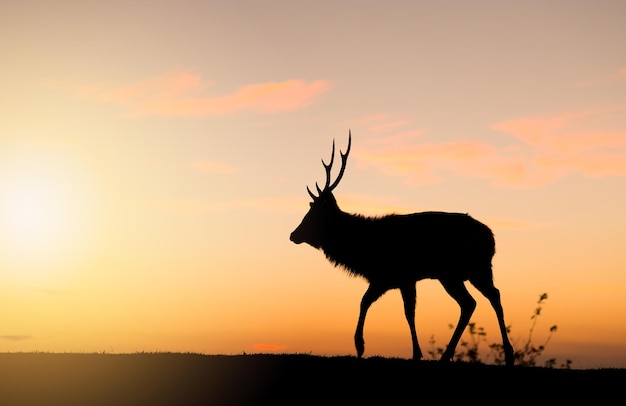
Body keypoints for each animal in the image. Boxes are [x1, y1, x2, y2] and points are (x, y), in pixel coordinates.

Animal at [288, 132, 512, 366]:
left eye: (312, 214)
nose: (293, 235)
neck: (360, 248)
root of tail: (491, 238)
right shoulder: (393, 279)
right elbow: (392, 308)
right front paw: (410, 351)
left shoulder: (395, 276)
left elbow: (382, 306)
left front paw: (362, 346)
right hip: (460, 274)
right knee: (474, 301)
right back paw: (453, 355)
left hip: (469, 269)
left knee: (487, 298)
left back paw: (505, 354)